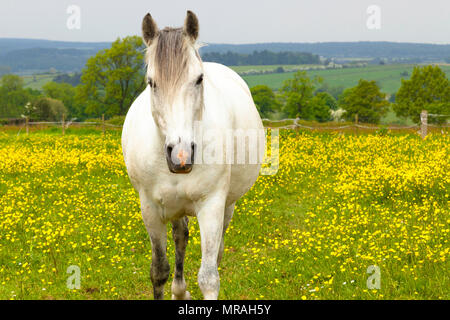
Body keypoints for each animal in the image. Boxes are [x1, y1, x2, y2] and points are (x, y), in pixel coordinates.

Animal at [122, 10, 264, 300]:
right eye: (151, 82)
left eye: (199, 79)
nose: (181, 155)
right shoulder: (150, 210)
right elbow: (159, 270)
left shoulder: (211, 205)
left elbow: (209, 277)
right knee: (180, 237)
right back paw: (179, 291)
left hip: (227, 206)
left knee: (215, 251)